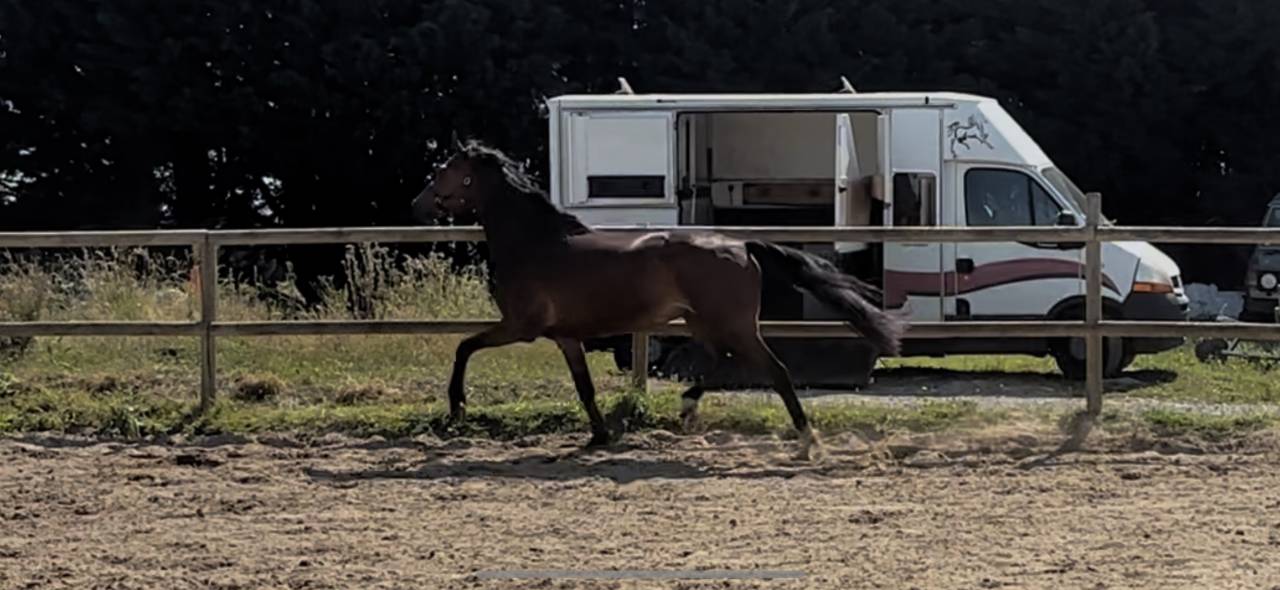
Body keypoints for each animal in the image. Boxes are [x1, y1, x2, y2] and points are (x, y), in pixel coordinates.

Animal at [410, 140, 905, 460]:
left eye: (445, 172)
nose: (419, 203)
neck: (535, 242)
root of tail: (742, 245)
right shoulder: (565, 338)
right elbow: (584, 387)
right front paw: (599, 436)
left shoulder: (521, 327)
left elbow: (463, 348)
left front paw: (456, 406)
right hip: (704, 322)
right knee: (719, 359)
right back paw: (687, 405)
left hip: (732, 324)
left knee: (774, 371)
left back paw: (807, 442)